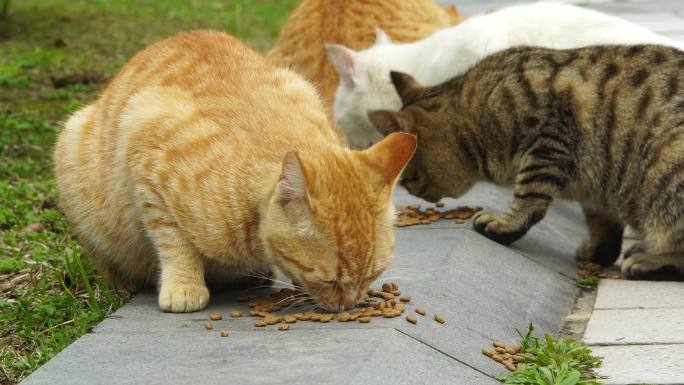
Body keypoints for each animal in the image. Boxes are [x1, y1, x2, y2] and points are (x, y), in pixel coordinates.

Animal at [54, 30, 416, 312]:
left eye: (372, 275)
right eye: (329, 280)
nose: (349, 305)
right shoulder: (146, 149)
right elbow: (173, 241)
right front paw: (184, 285)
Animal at [372, 44, 684, 280]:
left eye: (408, 178)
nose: (414, 193)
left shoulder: (549, 140)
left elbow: (529, 197)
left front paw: (505, 224)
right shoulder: (595, 189)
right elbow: (602, 224)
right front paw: (598, 251)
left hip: (667, 164)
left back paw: (650, 260)